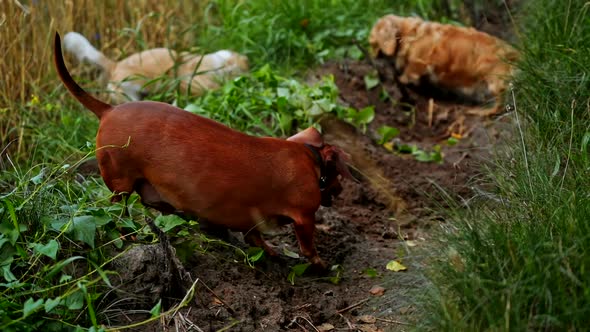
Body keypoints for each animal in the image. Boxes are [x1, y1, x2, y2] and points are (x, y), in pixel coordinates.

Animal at [55, 32, 350, 268]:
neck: (308, 159)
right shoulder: (304, 217)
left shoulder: (253, 223)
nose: (341, 191)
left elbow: (257, 239)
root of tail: (109, 110)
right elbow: (307, 247)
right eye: (339, 175)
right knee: (119, 214)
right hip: (120, 184)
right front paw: (321, 265)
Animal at [372, 14, 520, 114]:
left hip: (493, 79)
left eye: (373, 43)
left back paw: (482, 111)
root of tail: (515, 53)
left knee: (500, 104)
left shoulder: (418, 62)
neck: (407, 34)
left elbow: (407, 74)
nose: (373, 59)